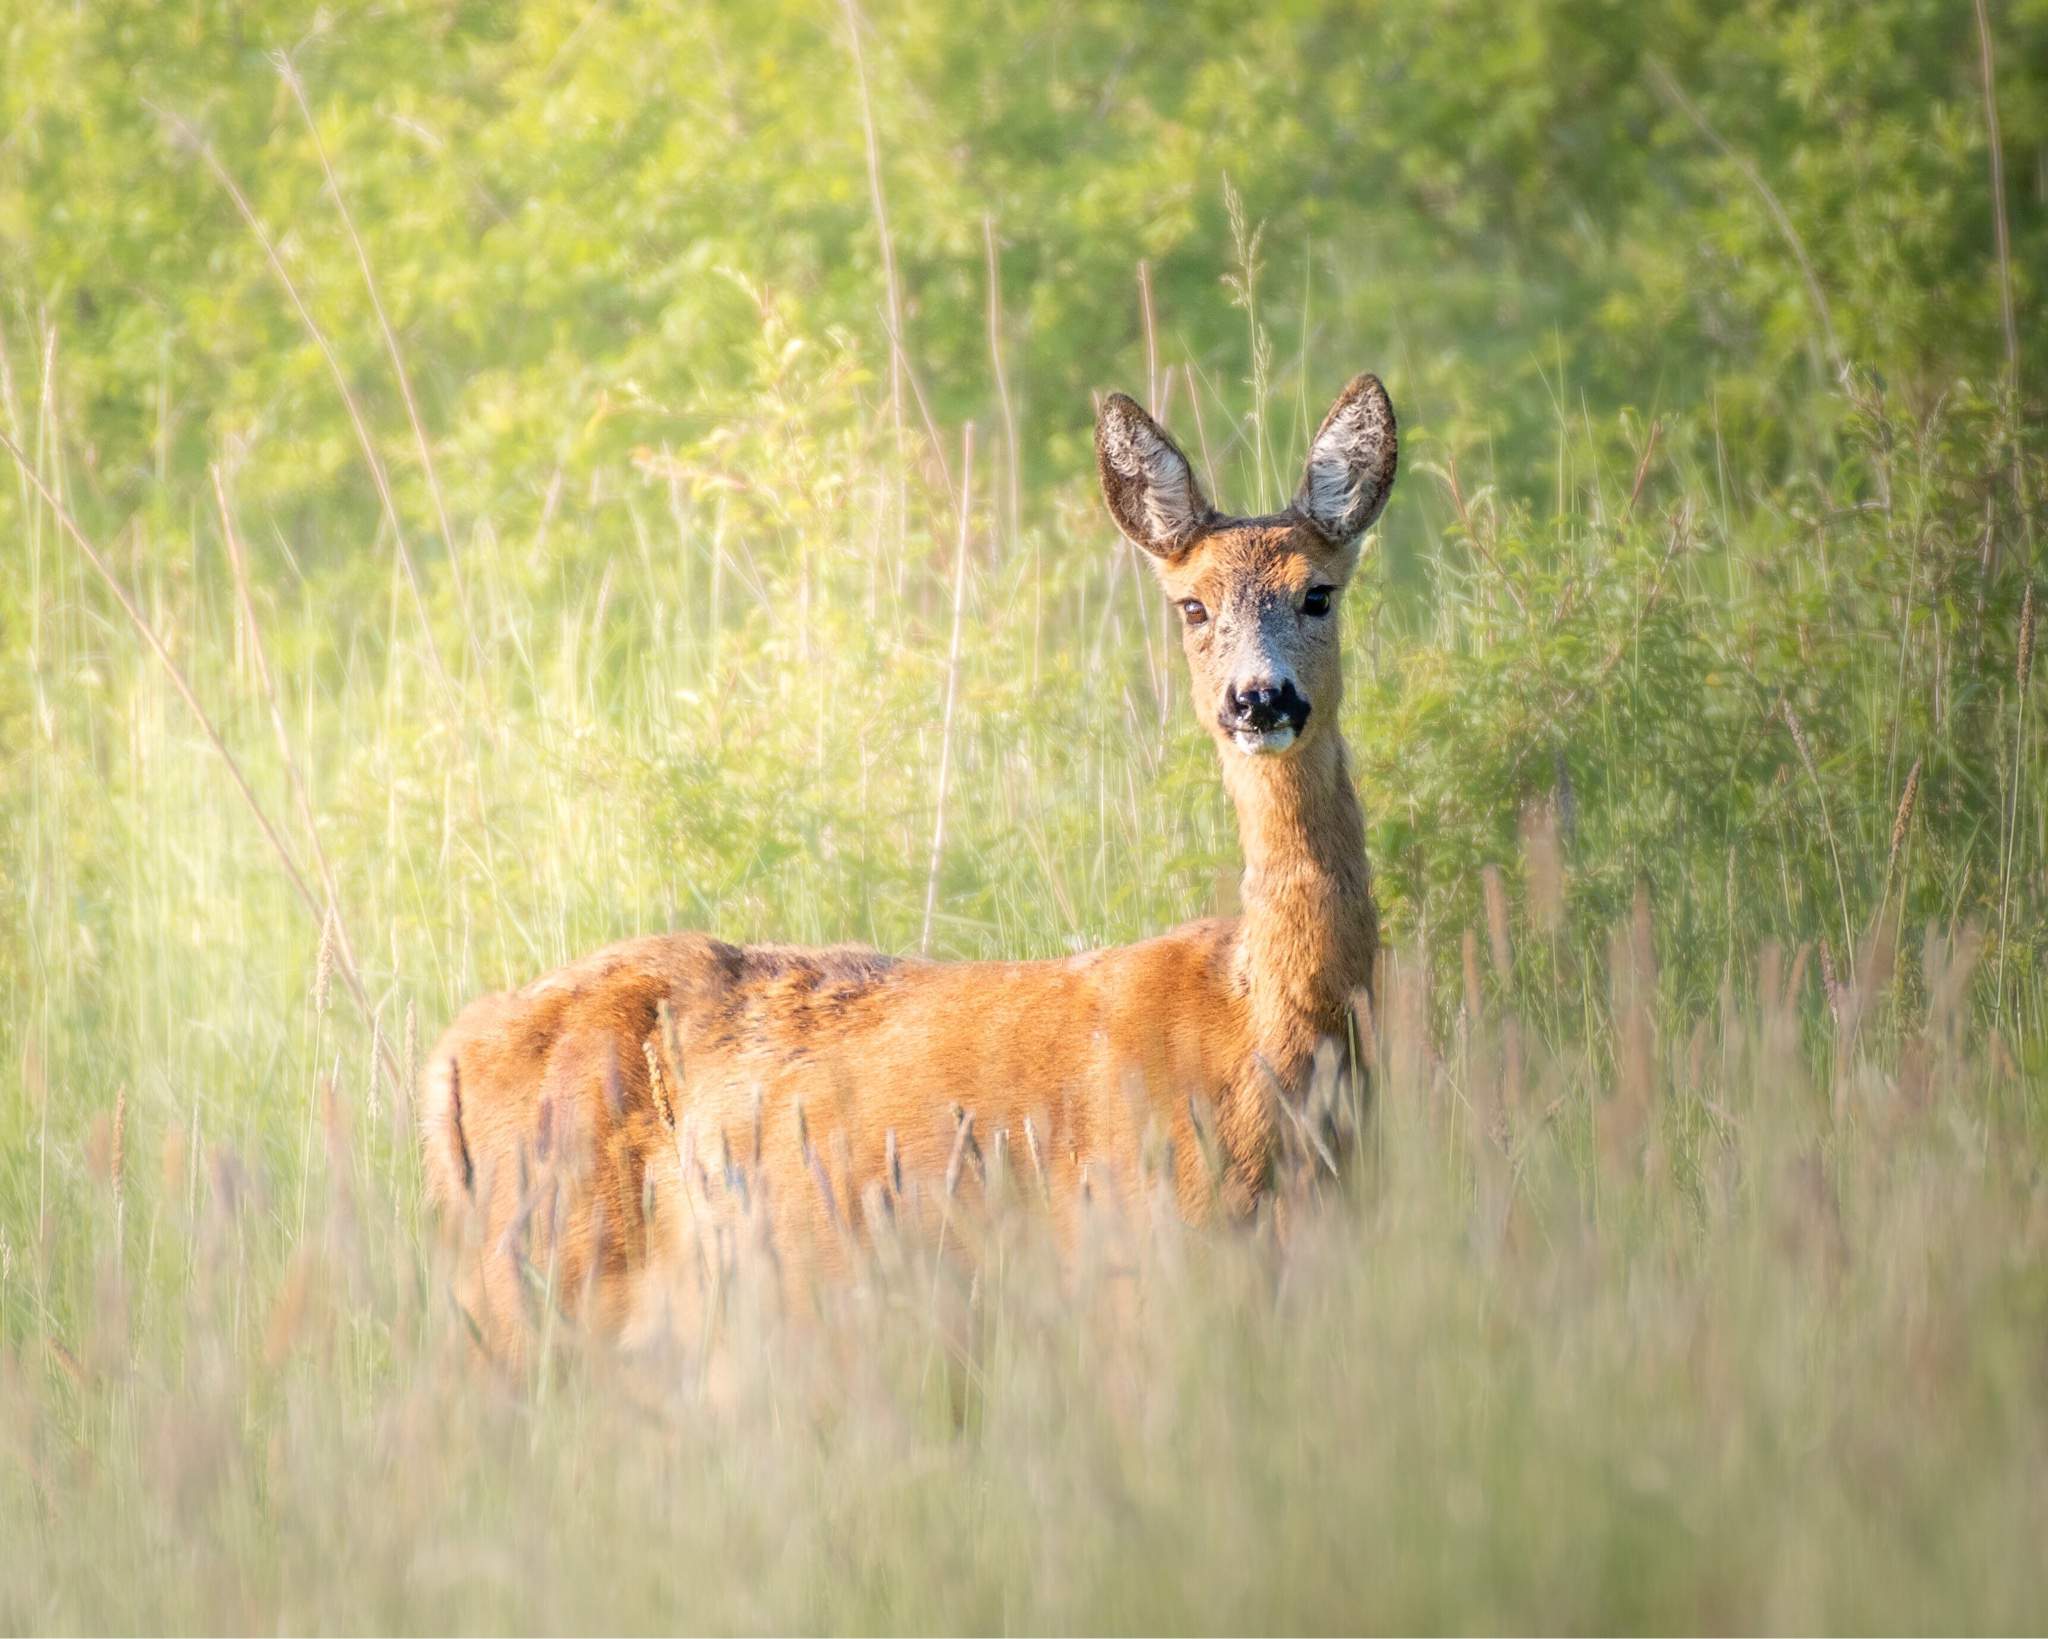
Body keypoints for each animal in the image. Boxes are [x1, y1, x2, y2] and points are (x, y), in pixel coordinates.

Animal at [423, 370, 1400, 1360]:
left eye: (1319, 593)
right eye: (1192, 606)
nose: (1260, 698)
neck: (1263, 1043)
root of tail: (448, 1057)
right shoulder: (1132, 1257)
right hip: (536, 1278)